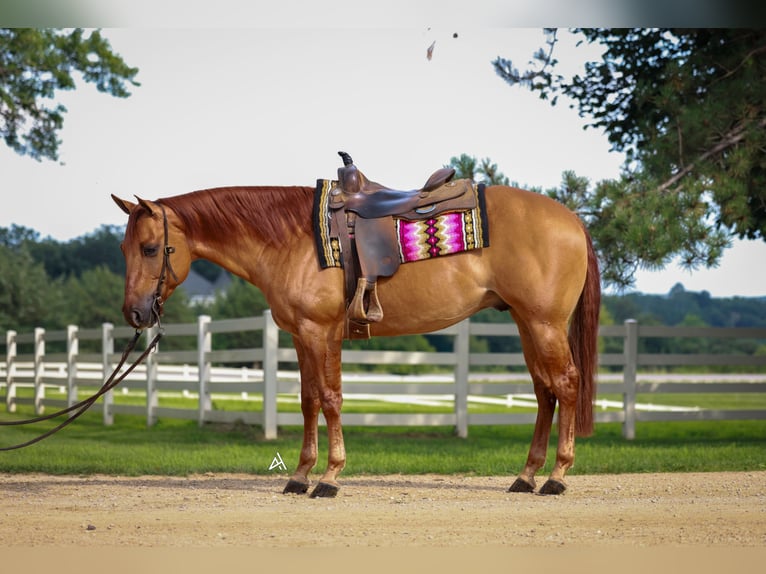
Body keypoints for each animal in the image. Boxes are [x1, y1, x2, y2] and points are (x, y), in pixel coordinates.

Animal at [112, 172, 600, 498]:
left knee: (566, 384)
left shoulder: (319, 332)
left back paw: (556, 477)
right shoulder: (301, 336)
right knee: (544, 393)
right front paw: (300, 476)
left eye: (150, 248)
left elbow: (329, 399)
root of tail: (572, 220)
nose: (134, 313)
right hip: (526, 323)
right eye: (123, 248)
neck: (292, 238)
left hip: (544, 323)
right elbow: (309, 400)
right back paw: (525, 476)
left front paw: (329, 478)